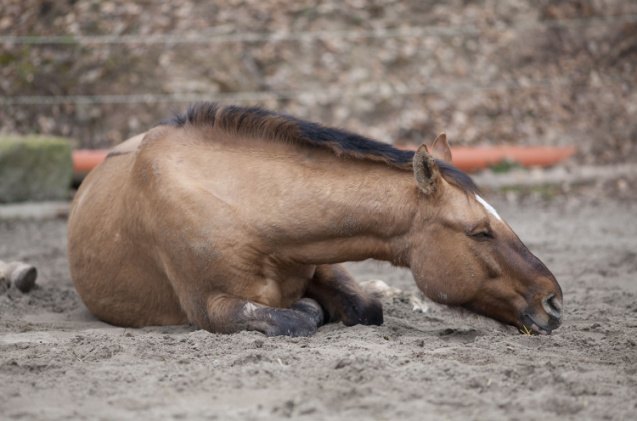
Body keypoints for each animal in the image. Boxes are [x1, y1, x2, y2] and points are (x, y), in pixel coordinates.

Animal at [64, 103, 560, 336]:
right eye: (480, 232)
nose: (553, 301)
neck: (246, 207)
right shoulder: (211, 307)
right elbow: (297, 317)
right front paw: (309, 310)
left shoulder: (323, 260)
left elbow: (365, 307)